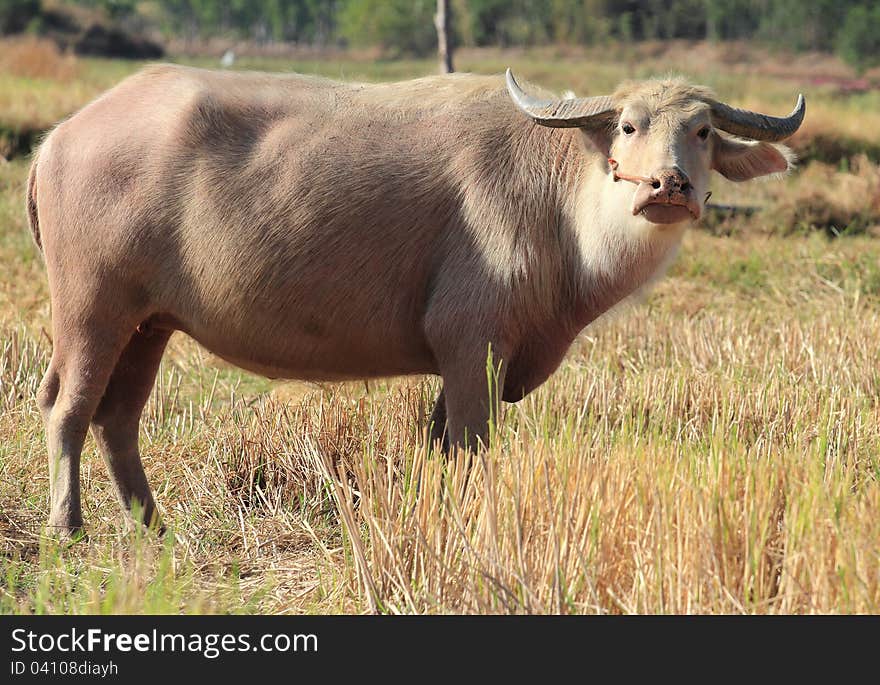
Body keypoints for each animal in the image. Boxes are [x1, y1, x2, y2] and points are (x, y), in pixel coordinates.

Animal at [27, 64, 804, 532]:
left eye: (702, 130)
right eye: (629, 125)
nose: (668, 185)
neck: (562, 207)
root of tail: (59, 138)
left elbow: (438, 444)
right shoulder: (472, 346)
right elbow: (471, 445)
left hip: (149, 321)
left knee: (118, 415)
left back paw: (151, 523)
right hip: (92, 305)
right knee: (68, 405)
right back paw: (68, 525)